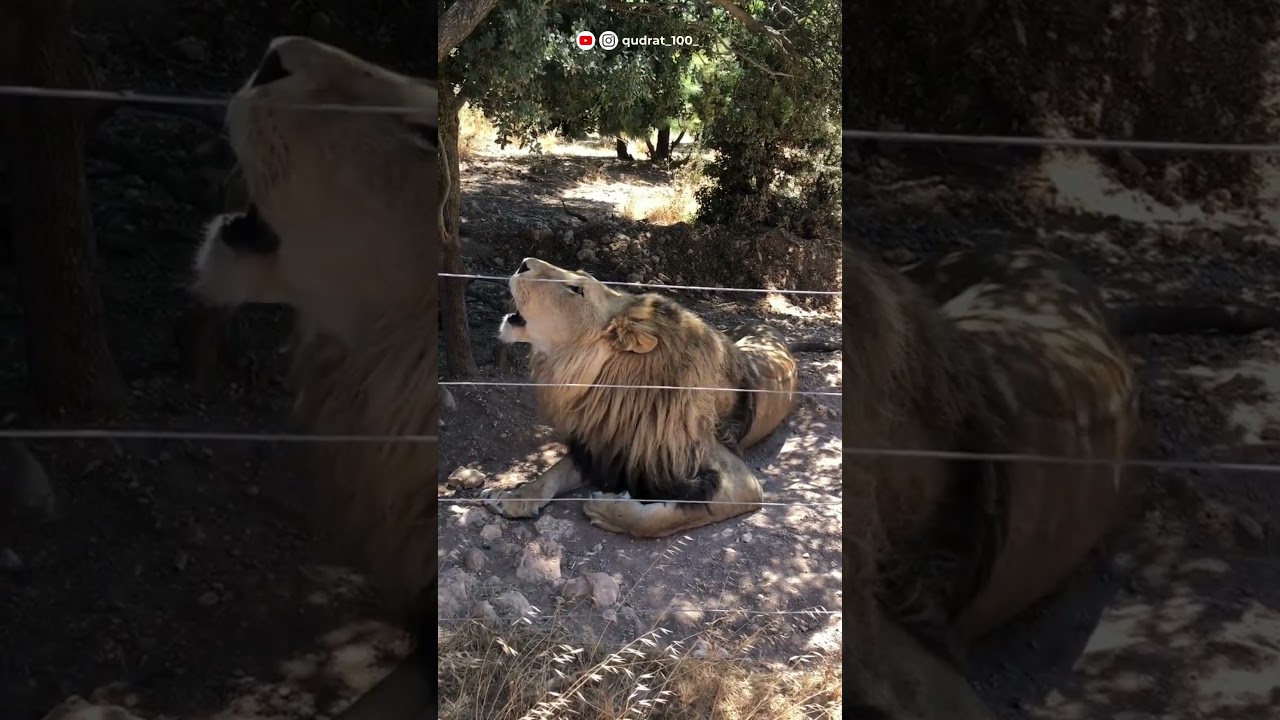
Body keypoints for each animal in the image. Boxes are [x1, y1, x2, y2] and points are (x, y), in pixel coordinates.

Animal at [481, 257, 817, 538]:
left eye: (576, 289)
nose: (524, 262)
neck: (615, 387)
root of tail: (772, 328)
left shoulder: (741, 482)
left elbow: (660, 519)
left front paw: (606, 509)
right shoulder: (607, 444)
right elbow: (552, 472)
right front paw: (512, 496)